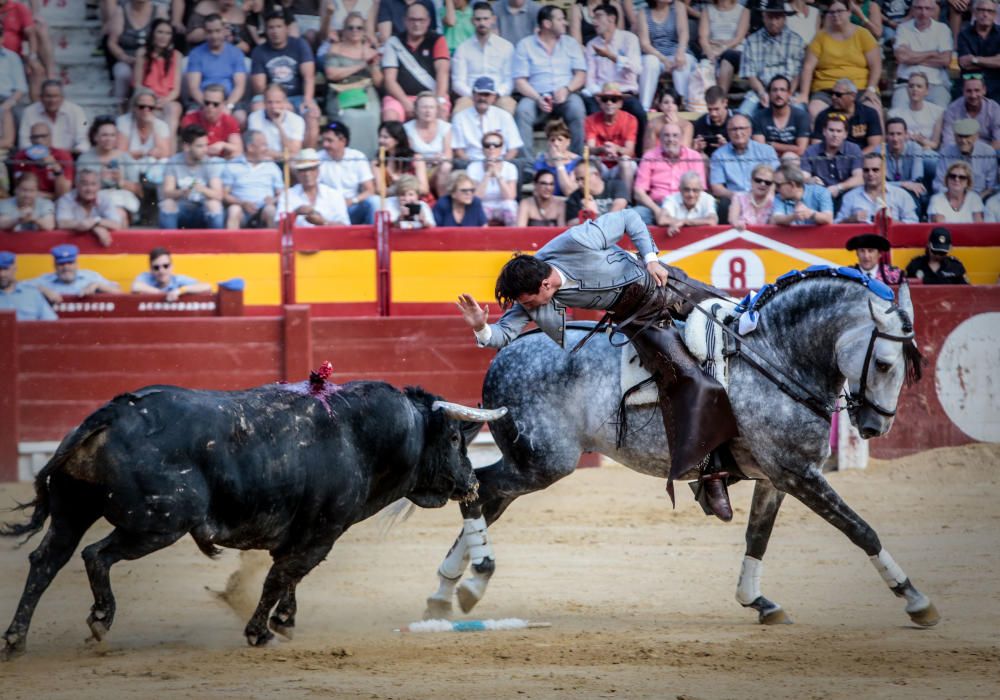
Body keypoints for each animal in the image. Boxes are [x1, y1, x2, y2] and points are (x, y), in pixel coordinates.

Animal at [0, 378, 508, 656]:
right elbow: (280, 576)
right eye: (455, 440)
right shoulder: (322, 533)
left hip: (74, 510)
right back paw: (100, 620)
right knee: (95, 556)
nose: (472, 483)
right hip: (157, 524)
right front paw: (261, 632)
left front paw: (283, 621)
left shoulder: (306, 536)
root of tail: (111, 413)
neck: (363, 435)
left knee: (46, 561)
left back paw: (16, 641)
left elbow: (289, 578)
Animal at [424, 270, 936, 628]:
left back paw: (446, 591)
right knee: (479, 487)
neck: (777, 356)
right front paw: (916, 600)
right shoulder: (799, 474)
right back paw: (472, 578)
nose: (874, 426)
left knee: (490, 496)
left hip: (529, 462)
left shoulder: (779, 477)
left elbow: (758, 536)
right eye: (885, 362)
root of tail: (505, 354)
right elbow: (860, 529)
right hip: (543, 463)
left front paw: (758, 602)